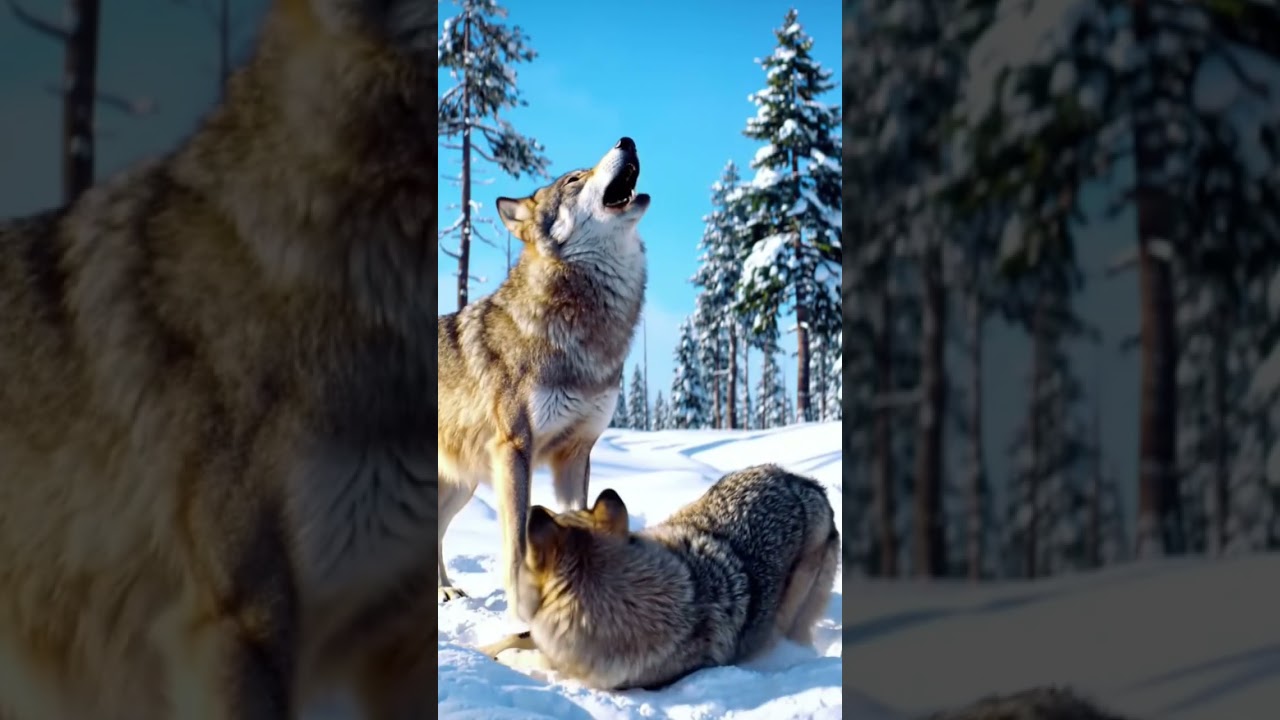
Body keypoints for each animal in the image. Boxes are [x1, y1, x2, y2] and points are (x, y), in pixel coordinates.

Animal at [436, 137, 649, 608]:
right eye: (573, 180)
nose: (626, 141)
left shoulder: (576, 452)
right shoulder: (516, 449)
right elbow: (517, 541)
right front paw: (521, 610)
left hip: (461, 485)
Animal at [480, 464, 841, 691]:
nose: (533, 509)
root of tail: (808, 484)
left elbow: (531, 656)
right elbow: (513, 638)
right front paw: (479, 650)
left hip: (789, 613)